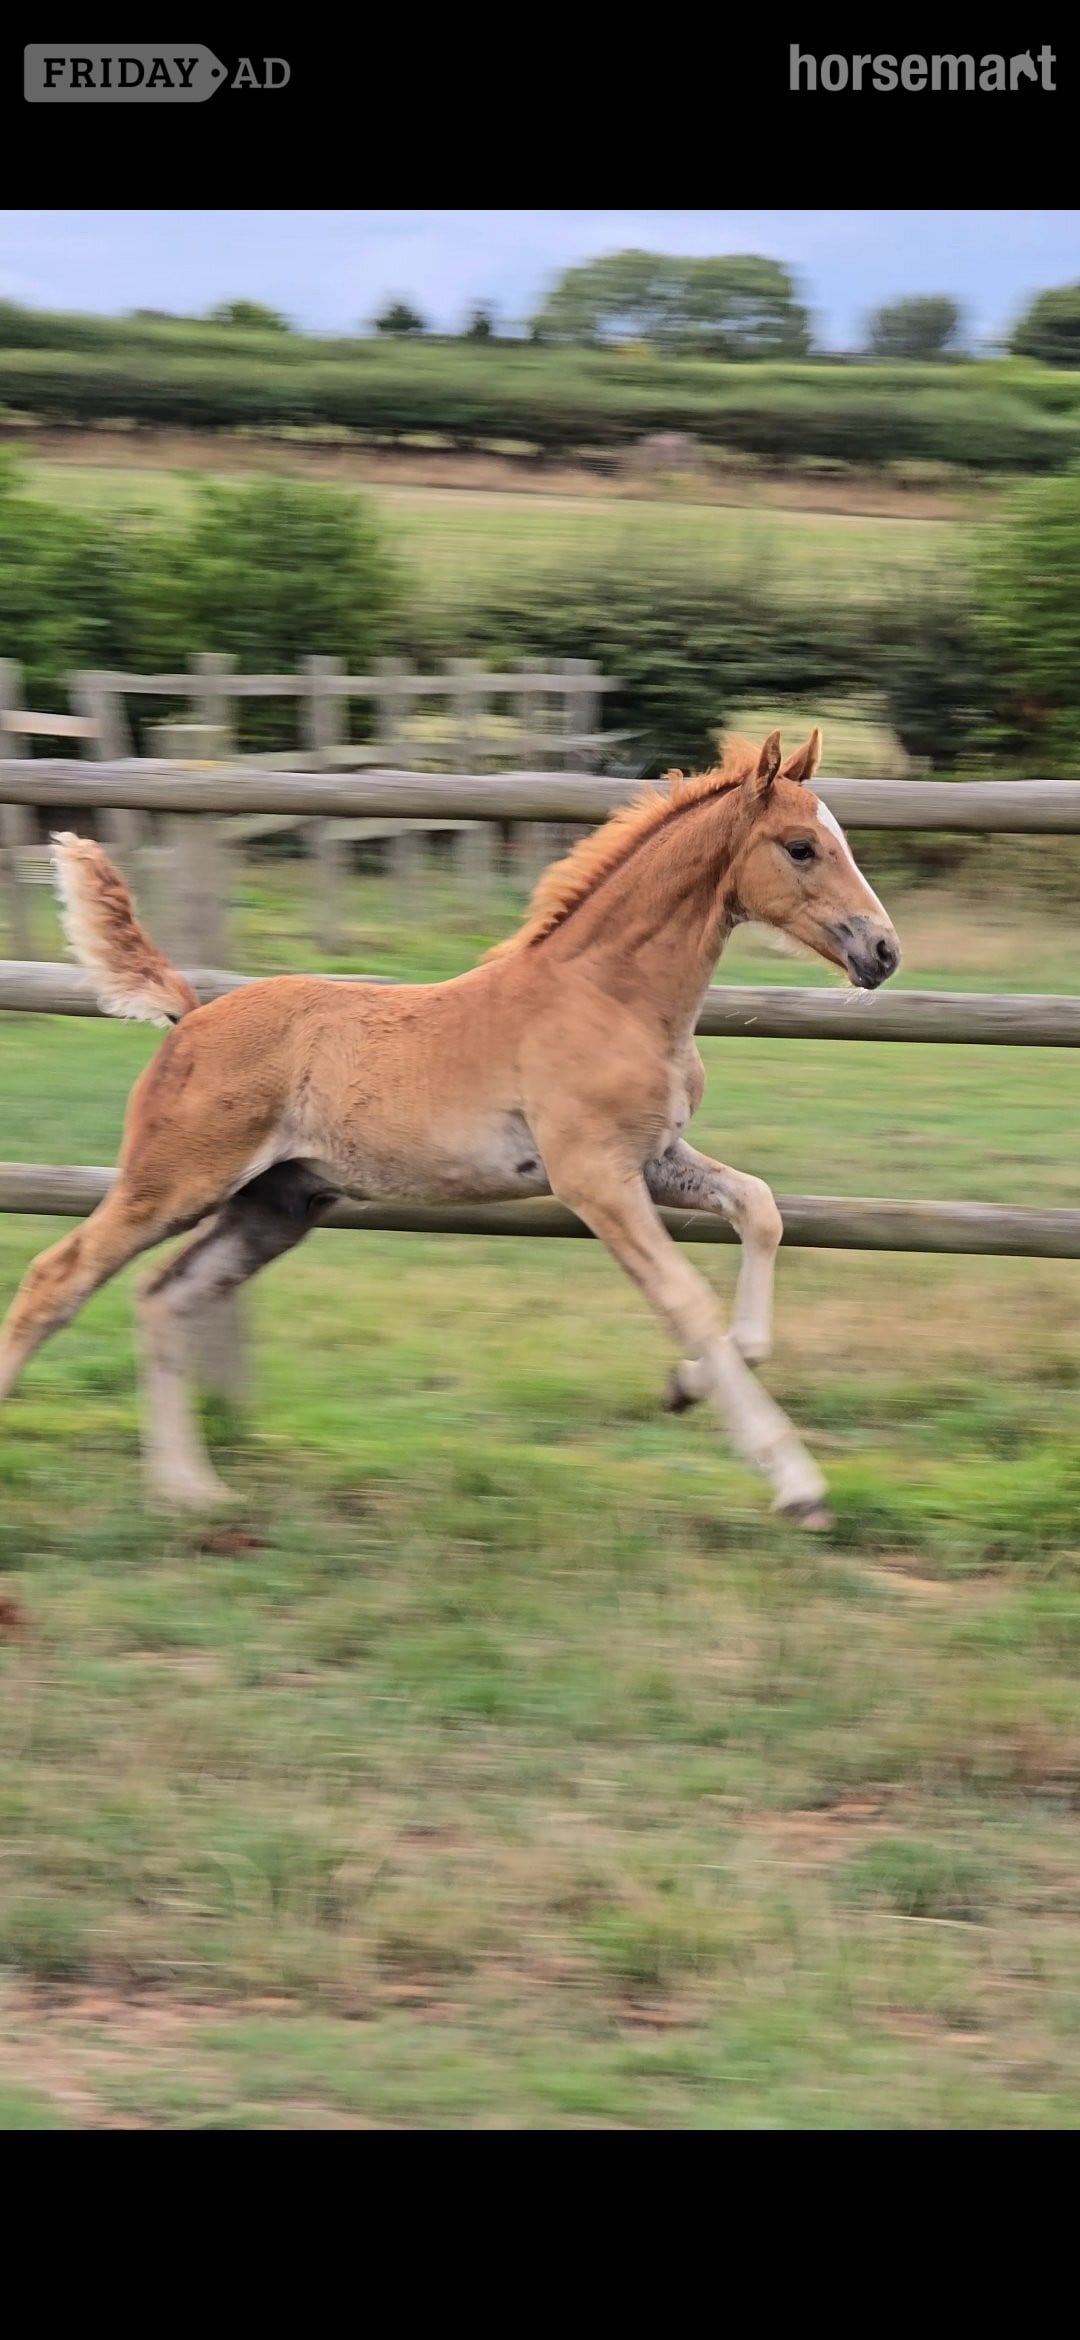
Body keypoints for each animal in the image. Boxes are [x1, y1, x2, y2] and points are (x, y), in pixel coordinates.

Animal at [0, 728, 900, 1525]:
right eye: (800, 847)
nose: (884, 951)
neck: (611, 997)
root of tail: (190, 1016)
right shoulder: (593, 1177)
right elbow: (684, 1299)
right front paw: (796, 1485)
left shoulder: (654, 1157)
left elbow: (760, 1210)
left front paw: (686, 1386)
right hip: (173, 1182)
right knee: (56, 1279)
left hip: (276, 1207)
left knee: (166, 1298)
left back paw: (190, 1493)